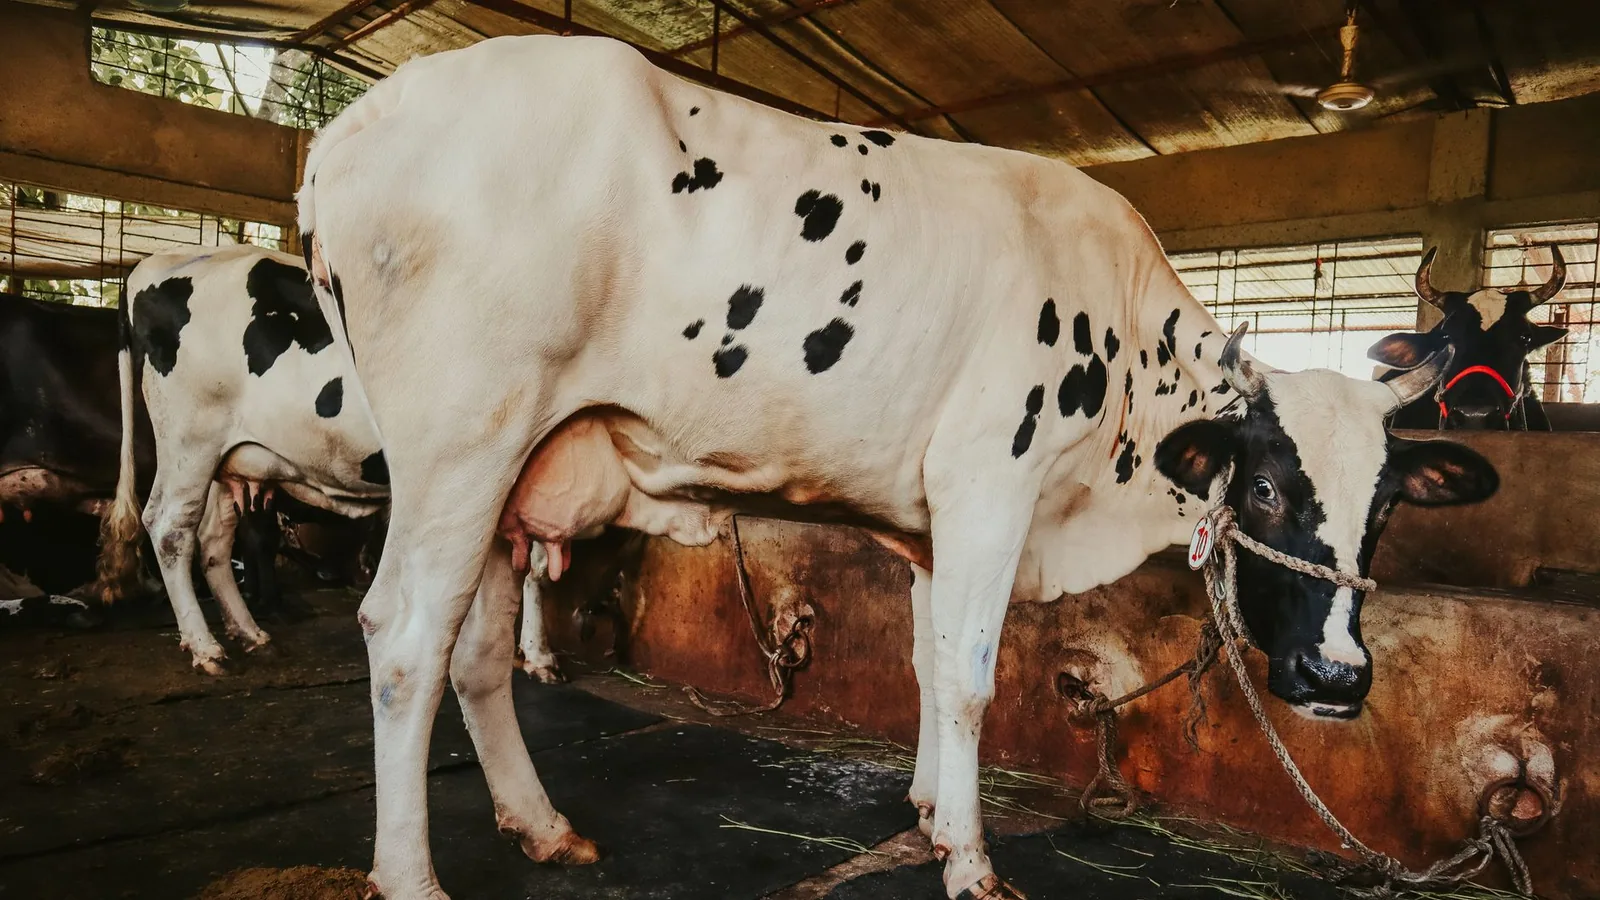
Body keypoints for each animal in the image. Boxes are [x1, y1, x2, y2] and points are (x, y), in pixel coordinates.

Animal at [99, 246, 568, 679]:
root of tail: (158, 262)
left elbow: (540, 569)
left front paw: (538, 656)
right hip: (189, 439)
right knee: (170, 529)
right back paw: (205, 646)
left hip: (227, 456)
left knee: (213, 538)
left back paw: (250, 633)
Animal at [295, 35, 1499, 900]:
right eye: (1265, 488)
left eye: (1384, 509)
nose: (1338, 678)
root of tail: (349, 129)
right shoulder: (988, 482)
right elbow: (969, 677)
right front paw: (970, 860)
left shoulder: (927, 522)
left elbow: (925, 665)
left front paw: (927, 810)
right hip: (464, 437)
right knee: (405, 640)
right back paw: (411, 880)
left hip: (513, 471)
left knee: (476, 654)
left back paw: (542, 826)